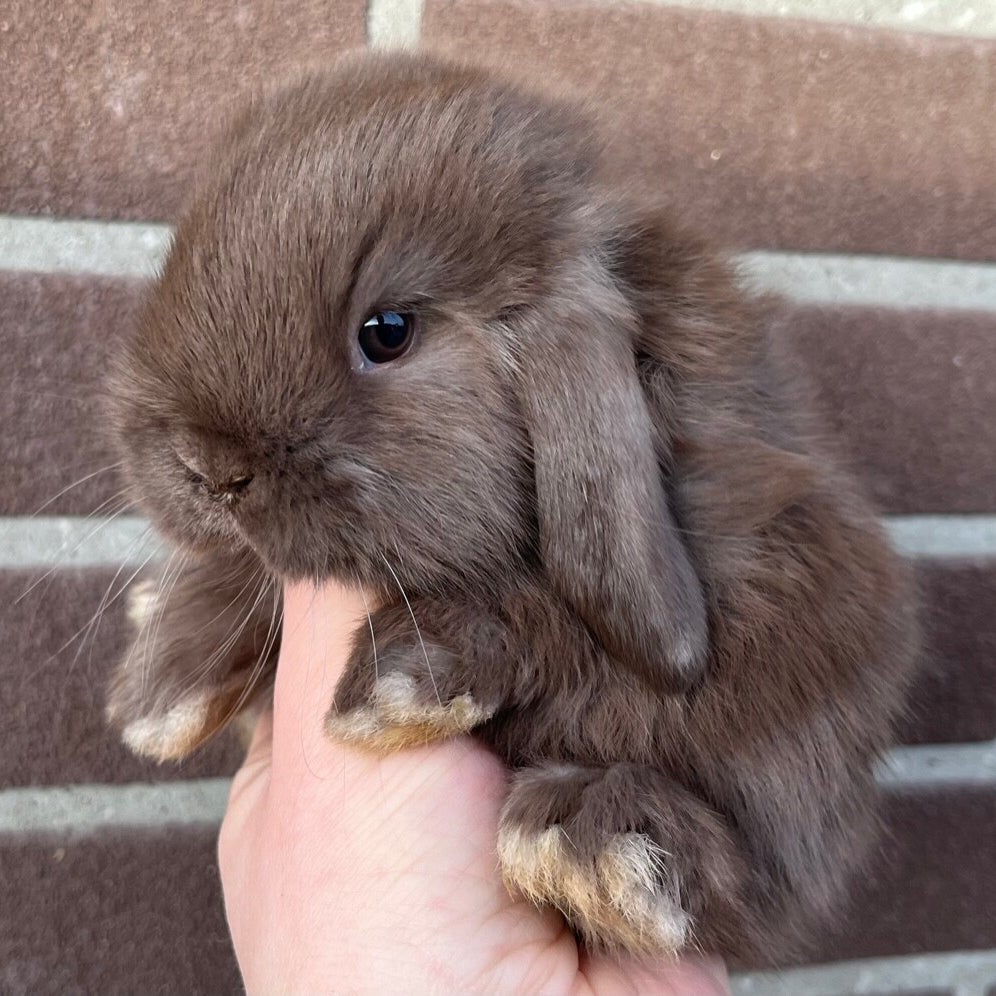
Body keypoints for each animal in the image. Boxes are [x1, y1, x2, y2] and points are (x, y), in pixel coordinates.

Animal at [103, 49, 919, 963]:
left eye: (387, 330)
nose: (207, 467)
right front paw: (162, 682)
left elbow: (564, 631)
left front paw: (404, 678)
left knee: (753, 888)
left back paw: (595, 842)